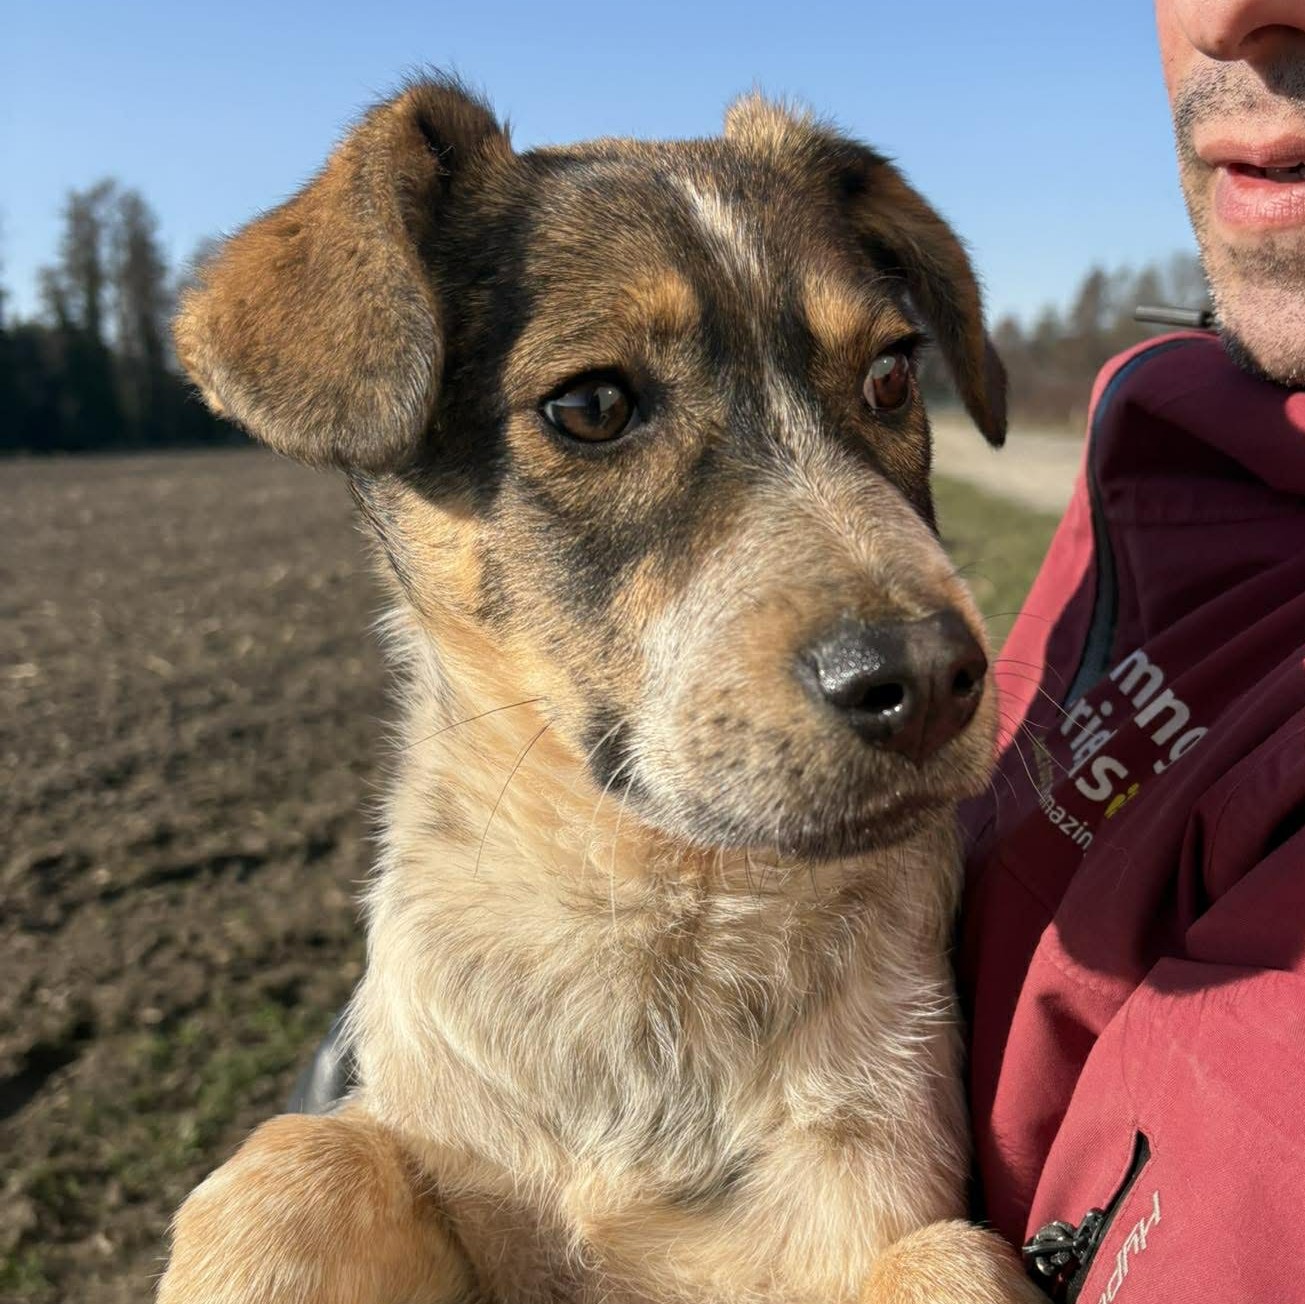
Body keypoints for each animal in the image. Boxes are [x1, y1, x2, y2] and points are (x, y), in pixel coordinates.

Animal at [158, 76, 1042, 1304]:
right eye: (590, 406)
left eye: (891, 374)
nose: (927, 678)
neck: (653, 915)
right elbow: (298, 1161)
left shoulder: (873, 1199)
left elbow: (945, 1258)